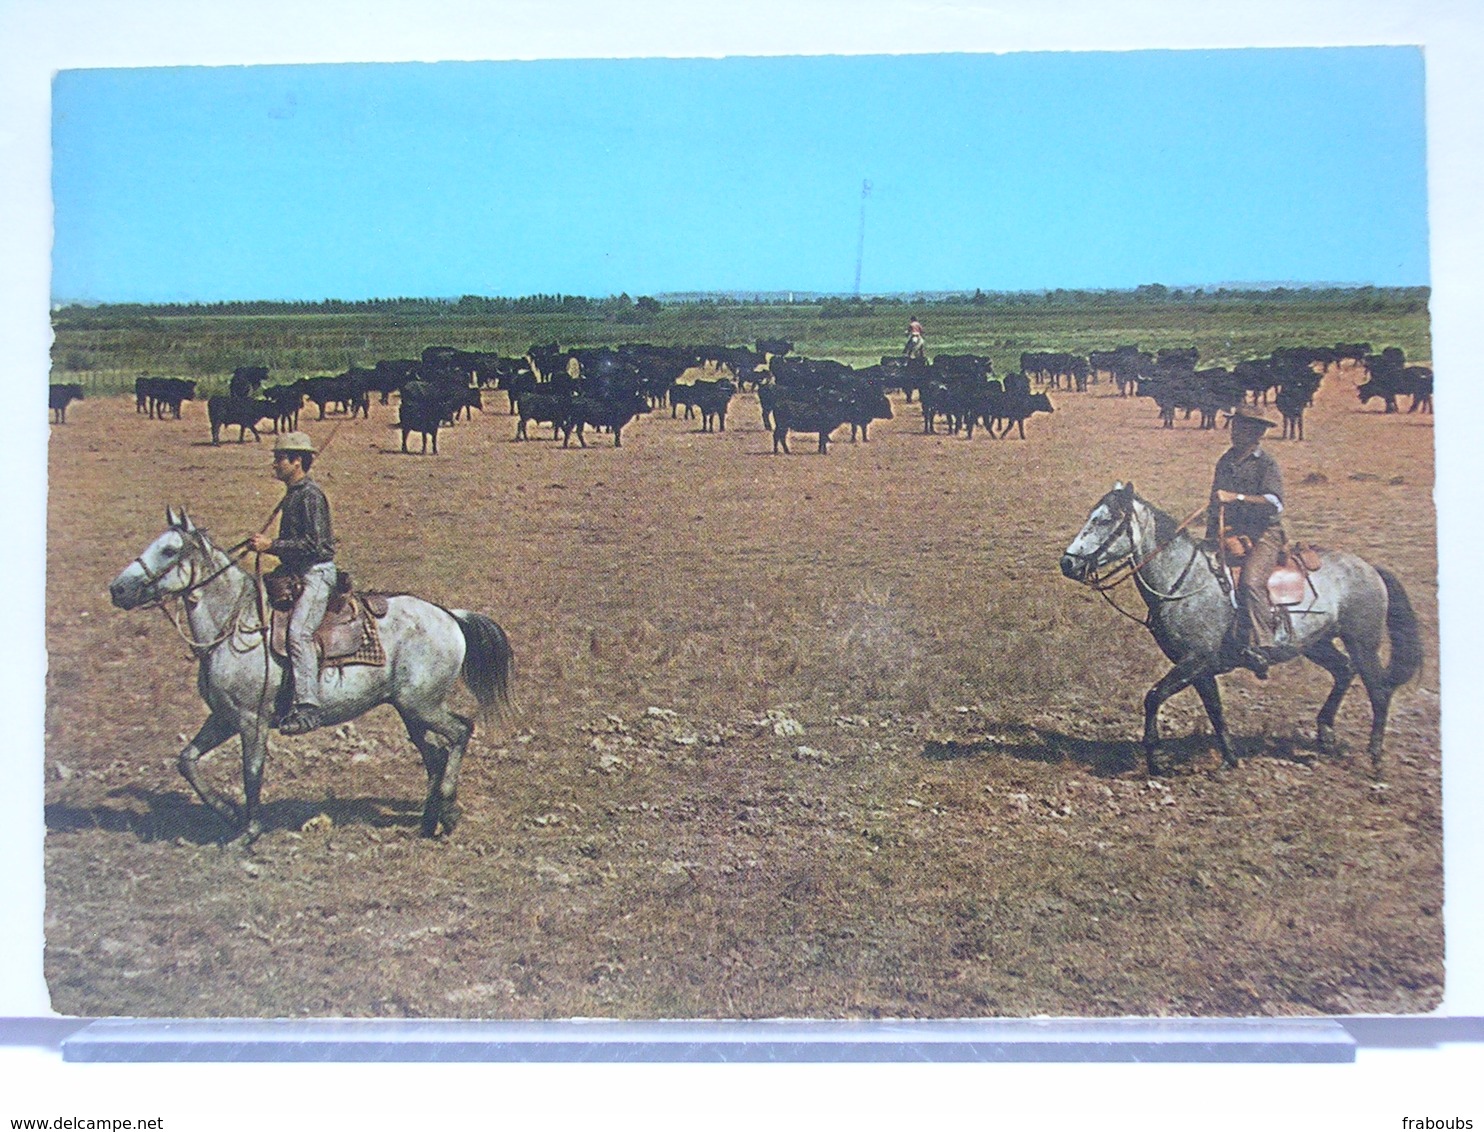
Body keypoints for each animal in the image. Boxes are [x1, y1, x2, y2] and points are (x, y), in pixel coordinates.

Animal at [109, 510, 516, 848]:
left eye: (169, 550)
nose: (118, 589)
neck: (235, 626)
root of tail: (450, 615)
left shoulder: (251, 720)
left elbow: (251, 771)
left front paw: (249, 831)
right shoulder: (223, 717)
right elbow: (187, 761)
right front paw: (227, 811)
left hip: (423, 705)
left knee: (460, 732)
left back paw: (447, 813)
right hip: (410, 711)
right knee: (435, 754)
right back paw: (431, 820)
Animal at [1062, 483, 1418, 777]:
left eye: (1106, 520)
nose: (1068, 563)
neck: (1184, 582)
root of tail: (1371, 569)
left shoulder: (1194, 660)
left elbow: (1153, 697)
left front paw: (1155, 759)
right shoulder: (1200, 667)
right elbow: (1215, 710)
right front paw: (1230, 758)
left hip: (1363, 643)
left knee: (1379, 690)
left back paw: (1374, 756)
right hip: (1317, 644)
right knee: (1344, 671)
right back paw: (1325, 735)